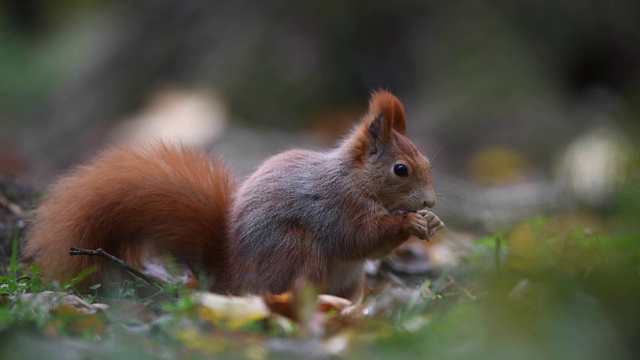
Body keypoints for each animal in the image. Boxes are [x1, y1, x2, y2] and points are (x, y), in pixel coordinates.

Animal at [25, 91, 444, 300]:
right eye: (401, 169)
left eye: (427, 161)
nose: (430, 202)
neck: (355, 180)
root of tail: (235, 279)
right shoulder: (335, 206)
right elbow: (358, 237)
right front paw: (410, 223)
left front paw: (431, 221)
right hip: (294, 251)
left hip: (345, 278)